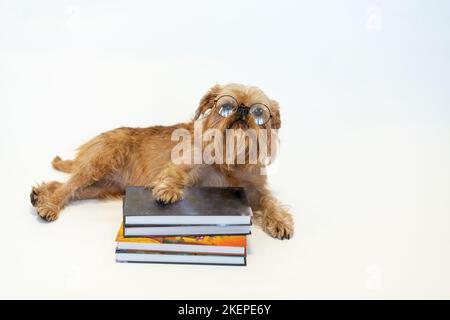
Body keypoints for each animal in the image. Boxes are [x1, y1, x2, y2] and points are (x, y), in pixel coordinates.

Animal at [29, 84, 294, 239]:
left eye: (258, 112)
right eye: (226, 106)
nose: (242, 110)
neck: (230, 160)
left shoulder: (255, 189)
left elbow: (269, 201)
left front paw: (280, 220)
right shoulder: (186, 165)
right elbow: (175, 174)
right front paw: (168, 191)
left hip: (102, 187)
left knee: (67, 186)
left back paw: (39, 194)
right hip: (101, 161)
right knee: (68, 187)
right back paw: (48, 205)